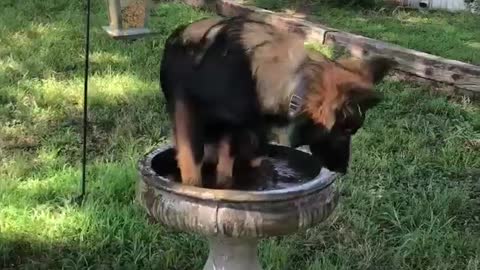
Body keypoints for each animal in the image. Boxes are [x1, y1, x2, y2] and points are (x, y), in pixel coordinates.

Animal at [159, 14, 396, 188]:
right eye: (345, 131)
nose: (343, 170)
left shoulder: (236, 130)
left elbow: (226, 170)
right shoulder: (189, 116)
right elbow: (193, 166)